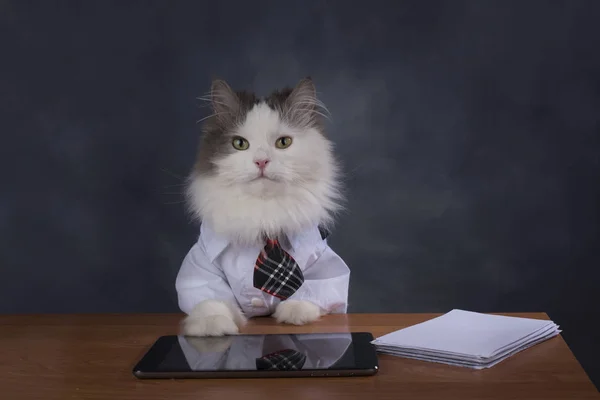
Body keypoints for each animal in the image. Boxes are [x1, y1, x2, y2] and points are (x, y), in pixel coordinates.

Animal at [176, 76, 350, 336]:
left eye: (283, 142)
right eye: (239, 144)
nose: (261, 161)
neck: (265, 217)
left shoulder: (321, 258)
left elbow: (313, 288)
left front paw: (294, 313)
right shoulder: (202, 262)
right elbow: (209, 298)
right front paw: (212, 326)